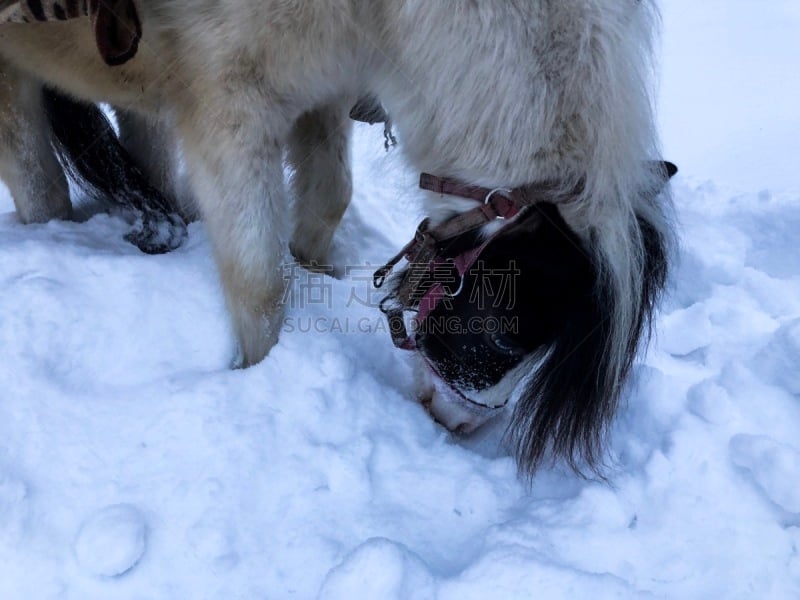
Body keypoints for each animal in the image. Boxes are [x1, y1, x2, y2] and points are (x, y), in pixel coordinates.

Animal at [0, 0, 676, 478]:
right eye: (504, 331)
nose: (460, 425)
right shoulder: (229, 111)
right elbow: (259, 281)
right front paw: (256, 373)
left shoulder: (320, 89)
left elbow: (329, 196)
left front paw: (314, 267)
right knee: (40, 185)